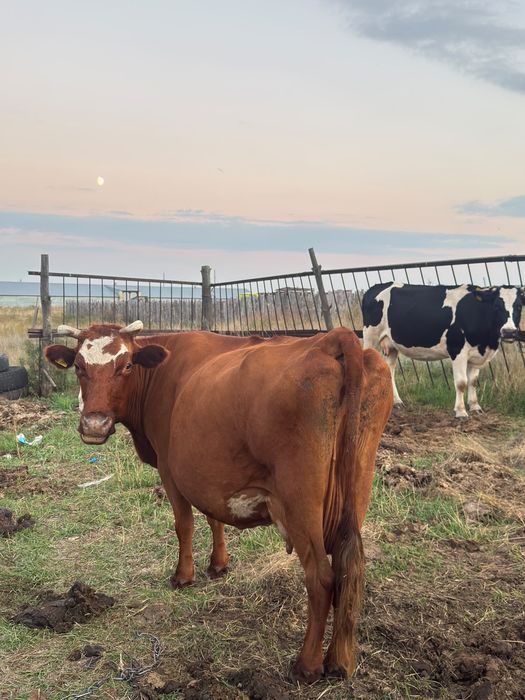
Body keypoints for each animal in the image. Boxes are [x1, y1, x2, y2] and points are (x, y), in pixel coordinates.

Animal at [45, 321, 392, 683]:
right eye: (79, 367)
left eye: (126, 366)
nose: (94, 425)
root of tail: (333, 338)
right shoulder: (207, 473)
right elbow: (213, 516)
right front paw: (218, 564)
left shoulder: (170, 469)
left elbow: (184, 525)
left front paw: (184, 576)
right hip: (357, 489)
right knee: (348, 568)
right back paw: (341, 659)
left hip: (301, 505)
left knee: (322, 579)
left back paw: (307, 665)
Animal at [362, 282, 524, 418]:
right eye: (496, 306)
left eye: (518, 307)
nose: (509, 332)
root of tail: (377, 286)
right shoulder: (457, 350)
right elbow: (461, 382)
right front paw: (461, 412)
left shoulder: (476, 354)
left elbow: (472, 381)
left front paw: (475, 407)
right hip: (370, 337)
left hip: (391, 346)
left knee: (390, 370)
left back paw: (396, 401)